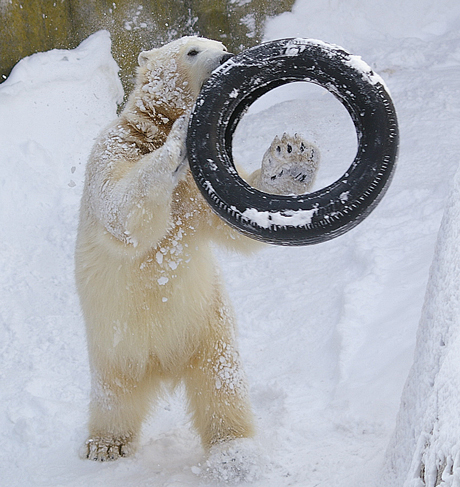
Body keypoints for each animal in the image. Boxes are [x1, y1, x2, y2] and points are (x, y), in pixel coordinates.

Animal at [75, 37, 320, 480]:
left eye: (220, 44)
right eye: (192, 50)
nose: (227, 57)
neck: (149, 131)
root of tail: (162, 365)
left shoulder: (196, 193)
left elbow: (239, 226)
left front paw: (291, 157)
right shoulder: (114, 150)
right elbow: (120, 210)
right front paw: (180, 134)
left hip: (206, 326)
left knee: (220, 384)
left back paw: (235, 454)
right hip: (113, 345)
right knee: (114, 395)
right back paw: (105, 445)